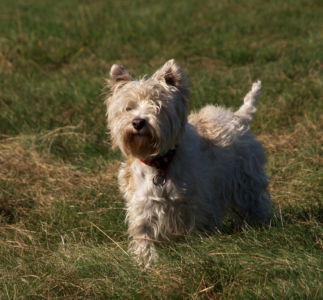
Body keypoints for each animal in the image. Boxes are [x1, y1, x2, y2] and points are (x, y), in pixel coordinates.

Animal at [106, 59, 274, 268]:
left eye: (157, 106)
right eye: (128, 108)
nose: (138, 122)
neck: (161, 163)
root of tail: (239, 117)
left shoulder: (197, 203)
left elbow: (197, 226)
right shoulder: (144, 205)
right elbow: (144, 235)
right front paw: (147, 262)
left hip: (246, 180)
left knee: (255, 202)